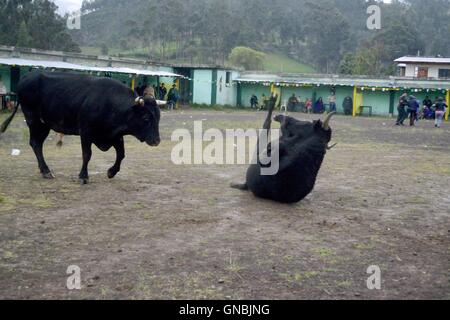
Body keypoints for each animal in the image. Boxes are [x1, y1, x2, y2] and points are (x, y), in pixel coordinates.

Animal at [0, 71, 162, 184]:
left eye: (158, 118)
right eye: (146, 118)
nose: (157, 141)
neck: (111, 104)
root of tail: (26, 77)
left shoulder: (114, 135)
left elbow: (121, 154)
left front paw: (111, 172)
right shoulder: (86, 132)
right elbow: (87, 154)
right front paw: (83, 176)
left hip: (44, 124)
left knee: (37, 144)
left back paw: (44, 170)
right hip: (34, 120)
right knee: (35, 144)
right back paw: (46, 171)